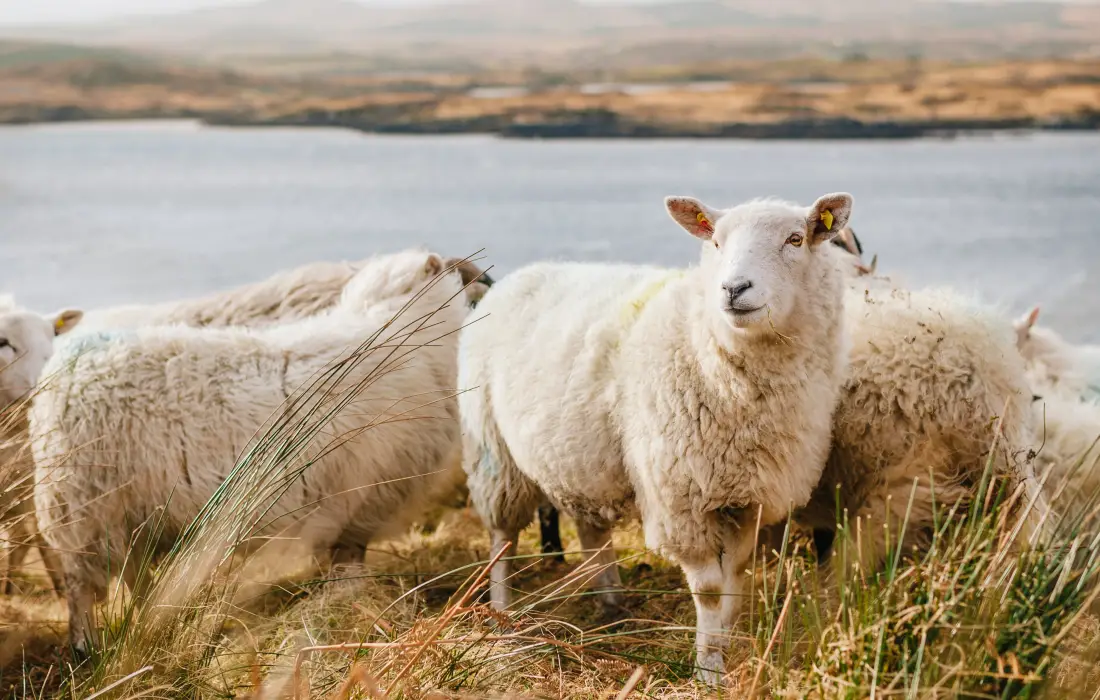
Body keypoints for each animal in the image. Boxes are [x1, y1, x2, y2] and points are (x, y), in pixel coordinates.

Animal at [30, 247, 468, 651]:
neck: (401, 331)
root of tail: (61, 369)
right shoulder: (359, 504)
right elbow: (348, 566)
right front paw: (350, 608)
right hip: (82, 506)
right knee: (79, 586)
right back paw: (86, 646)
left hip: (126, 513)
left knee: (134, 575)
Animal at [459, 191, 853, 682]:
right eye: (716, 242)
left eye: (795, 239)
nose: (733, 289)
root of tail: (515, 278)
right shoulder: (681, 498)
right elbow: (709, 590)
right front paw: (708, 669)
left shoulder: (749, 497)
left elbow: (736, 576)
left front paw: (727, 642)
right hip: (492, 451)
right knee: (502, 539)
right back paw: (503, 618)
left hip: (581, 457)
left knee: (591, 529)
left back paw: (612, 604)